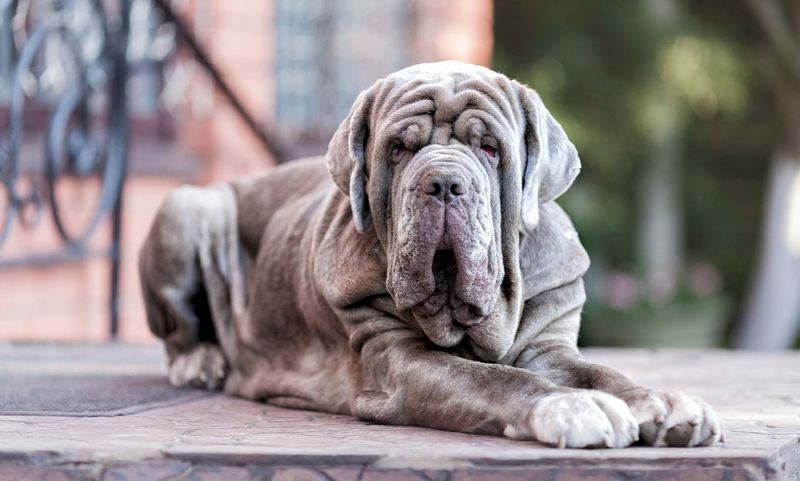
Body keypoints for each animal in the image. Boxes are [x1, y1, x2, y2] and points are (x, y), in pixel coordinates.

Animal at [141, 62, 720, 448]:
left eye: (490, 149)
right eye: (399, 149)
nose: (442, 182)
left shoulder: (549, 347)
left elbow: (602, 373)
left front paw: (663, 402)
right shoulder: (399, 362)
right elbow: (494, 379)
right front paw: (571, 405)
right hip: (191, 206)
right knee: (179, 332)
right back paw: (201, 361)